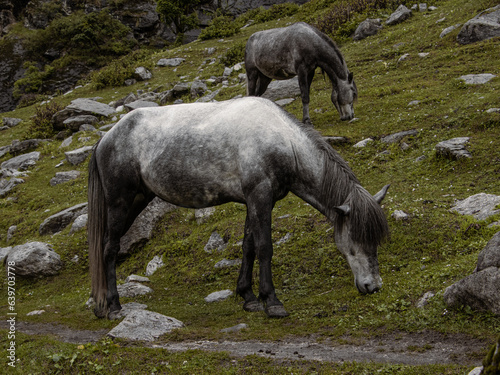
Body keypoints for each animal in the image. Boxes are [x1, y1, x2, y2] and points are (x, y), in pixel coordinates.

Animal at [88, 97, 388, 320]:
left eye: (376, 240)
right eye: (356, 239)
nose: (373, 286)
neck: (280, 140)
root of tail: (106, 138)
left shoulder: (255, 201)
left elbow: (249, 246)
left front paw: (248, 297)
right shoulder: (260, 197)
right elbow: (265, 247)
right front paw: (272, 302)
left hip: (138, 200)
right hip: (120, 203)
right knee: (109, 249)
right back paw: (114, 307)